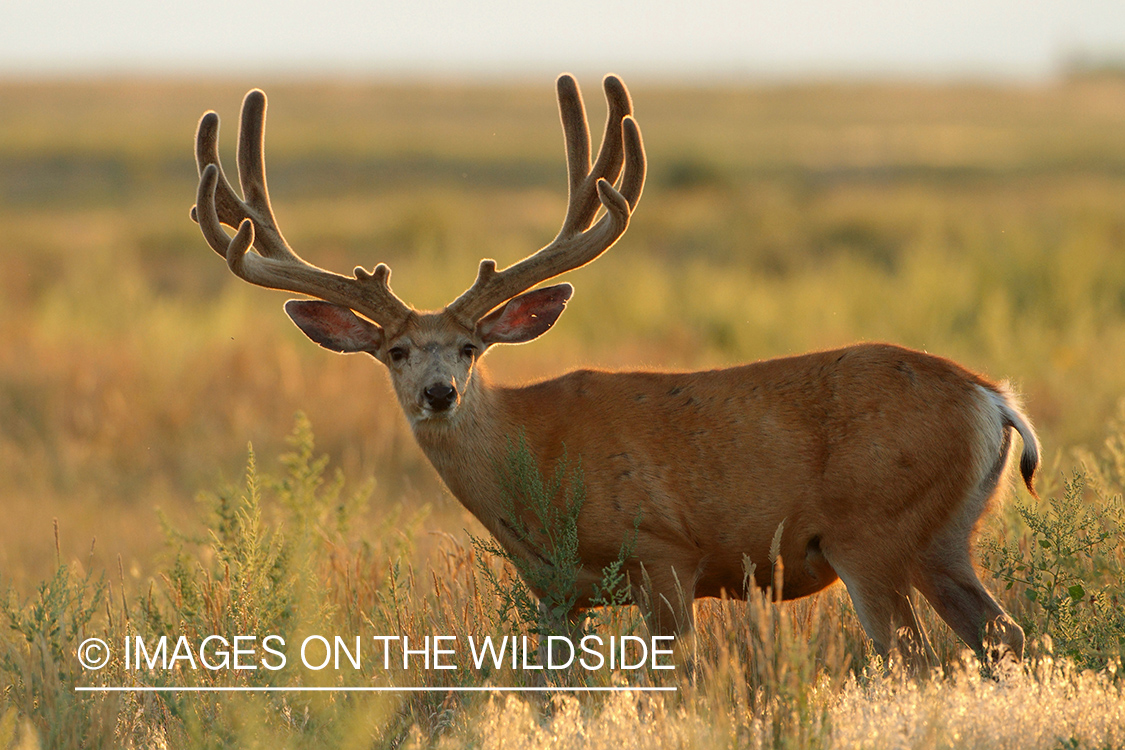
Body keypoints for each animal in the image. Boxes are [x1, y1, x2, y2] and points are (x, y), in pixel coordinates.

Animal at [190, 74, 1039, 669]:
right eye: (394, 351)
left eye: (470, 349)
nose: (438, 393)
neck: (535, 468)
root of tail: (993, 399)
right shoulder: (553, 594)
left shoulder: (663, 554)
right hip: (941, 540)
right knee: (1007, 640)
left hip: (873, 532)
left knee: (919, 660)